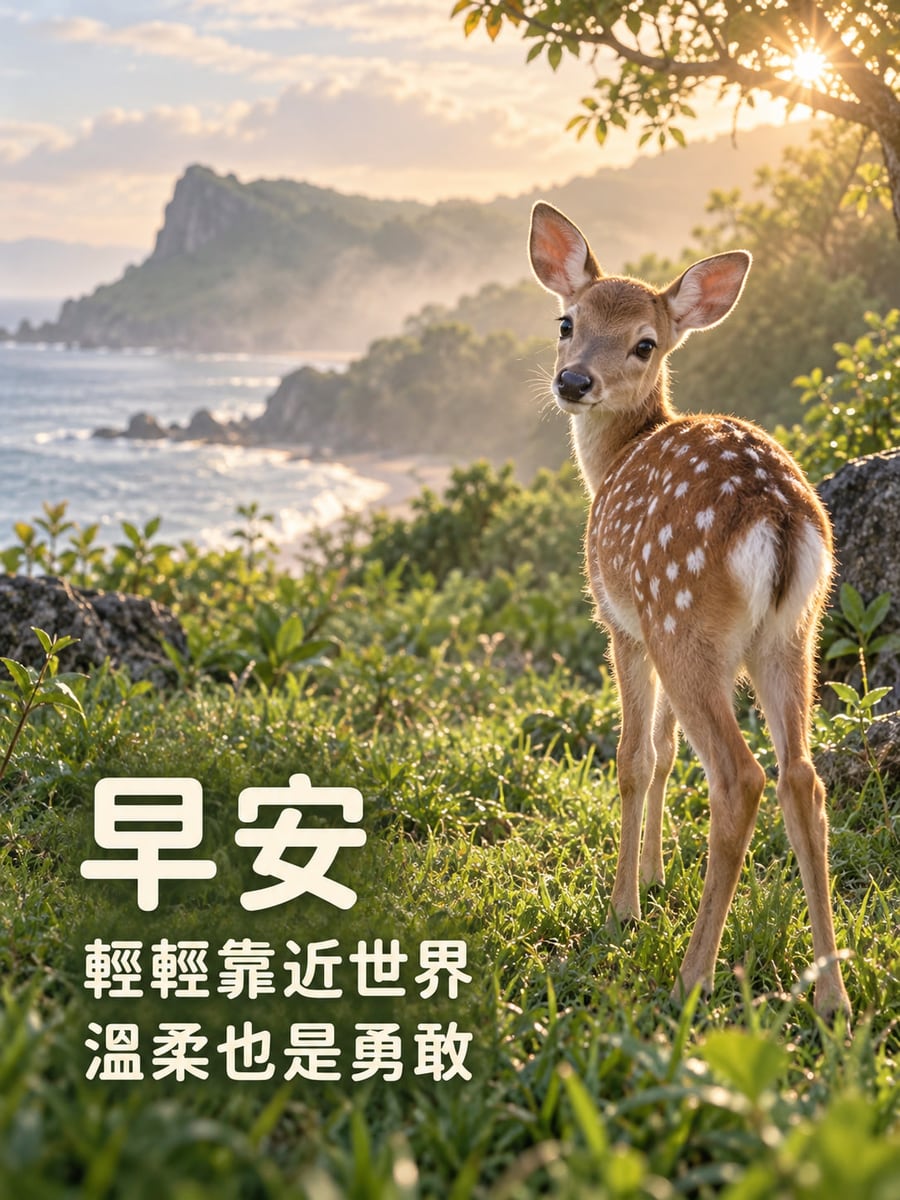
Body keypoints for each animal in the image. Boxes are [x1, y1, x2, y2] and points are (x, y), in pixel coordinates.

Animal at [528, 201, 851, 1019]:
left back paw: (691, 978)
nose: (574, 381)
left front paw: (624, 906)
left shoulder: (624, 623)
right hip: (792, 633)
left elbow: (636, 758)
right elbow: (667, 753)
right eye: (567, 322)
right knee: (803, 777)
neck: (613, 459)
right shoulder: (654, 631)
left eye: (645, 343)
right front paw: (651, 875)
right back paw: (832, 994)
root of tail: (777, 517)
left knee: (741, 778)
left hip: (686, 621)